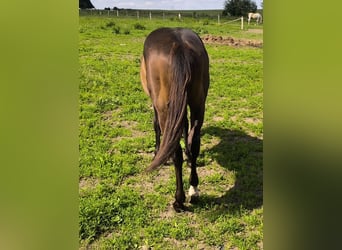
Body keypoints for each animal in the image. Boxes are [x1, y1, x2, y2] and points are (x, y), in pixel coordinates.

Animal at [140, 26, 210, 211]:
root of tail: (180, 46)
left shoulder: (157, 105)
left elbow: (156, 126)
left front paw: (156, 152)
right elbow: (184, 128)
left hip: (164, 106)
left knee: (175, 151)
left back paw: (179, 200)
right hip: (198, 103)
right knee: (195, 143)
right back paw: (194, 190)